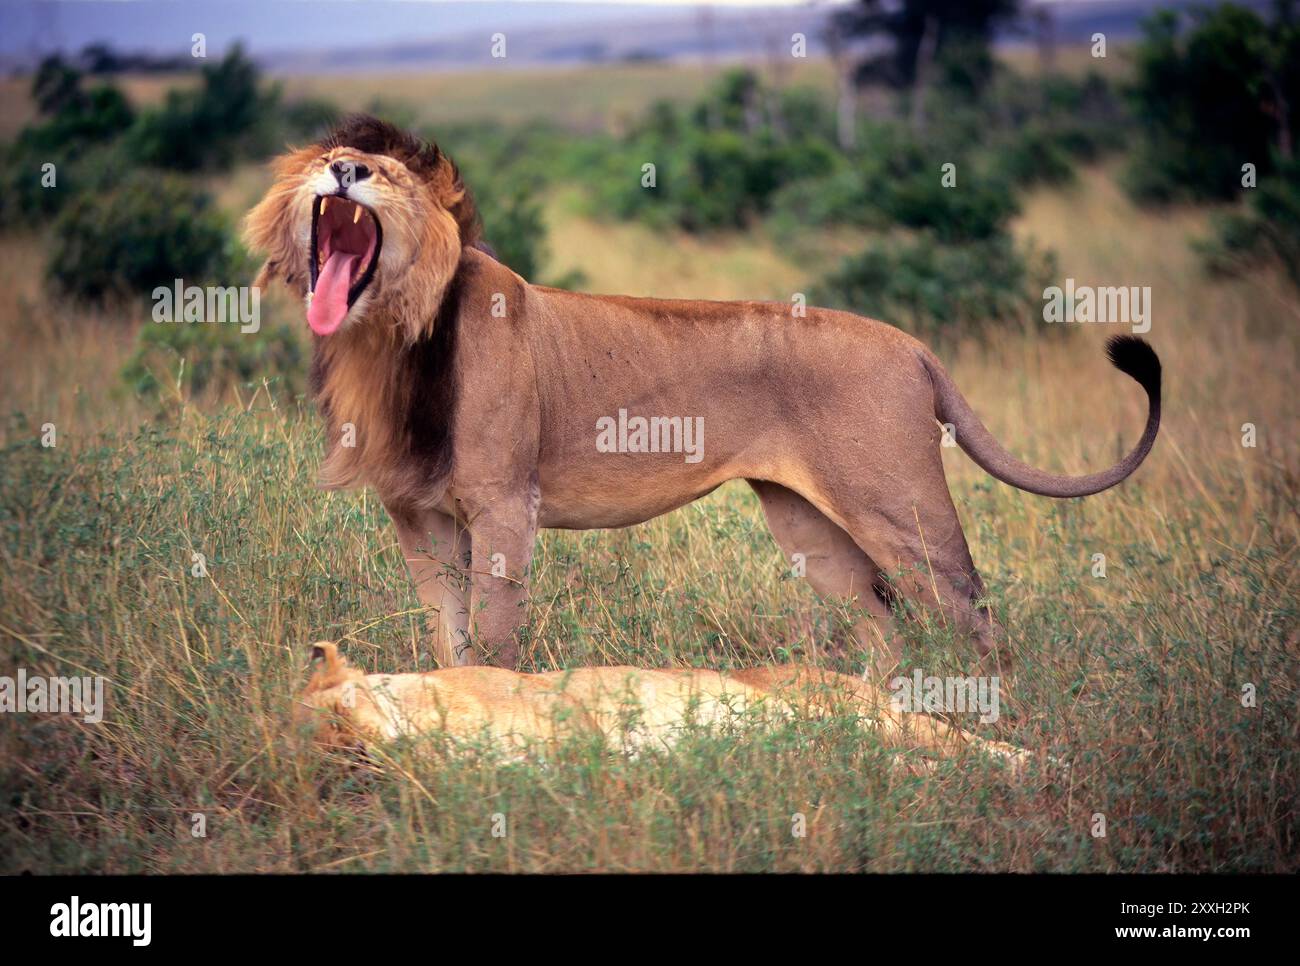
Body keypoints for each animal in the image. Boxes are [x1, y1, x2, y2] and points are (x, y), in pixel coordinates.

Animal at [246, 115, 1160, 678]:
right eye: (330, 160)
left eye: (387, 174)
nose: (345, 169)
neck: (388, 339)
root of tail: (915, 346)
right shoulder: (419, 516)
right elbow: (449, 634)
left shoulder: (506, 506)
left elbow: (497, 636)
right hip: (811, 528)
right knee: (883, 625)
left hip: (900, 510)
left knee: (974, 618)